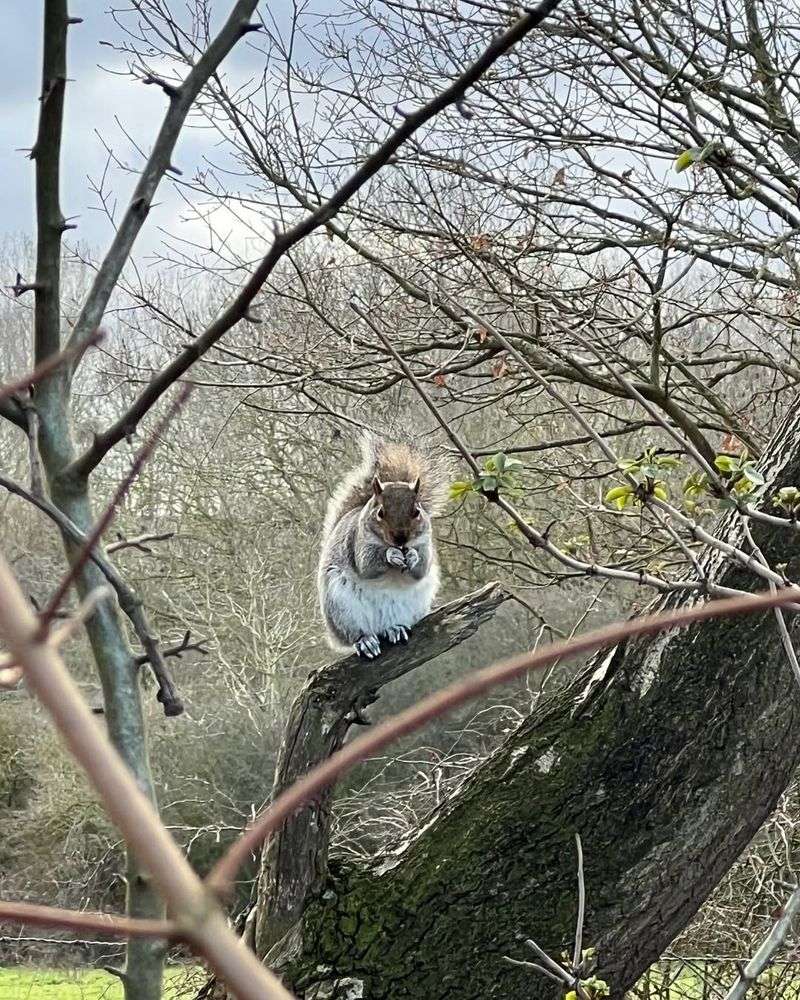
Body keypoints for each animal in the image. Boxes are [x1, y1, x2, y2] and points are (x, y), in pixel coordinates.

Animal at [317, 435, 448, 659]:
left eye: (417, 511)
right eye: (380, 513)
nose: (400, 538)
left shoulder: (425, 543)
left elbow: (421, 569)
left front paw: (412, 557)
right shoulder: (357, 542)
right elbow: (367, 566)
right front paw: (391, 555)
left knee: (389, 626)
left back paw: (394, 628)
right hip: (342, 607)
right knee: (357, 633)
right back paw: (366, 641)